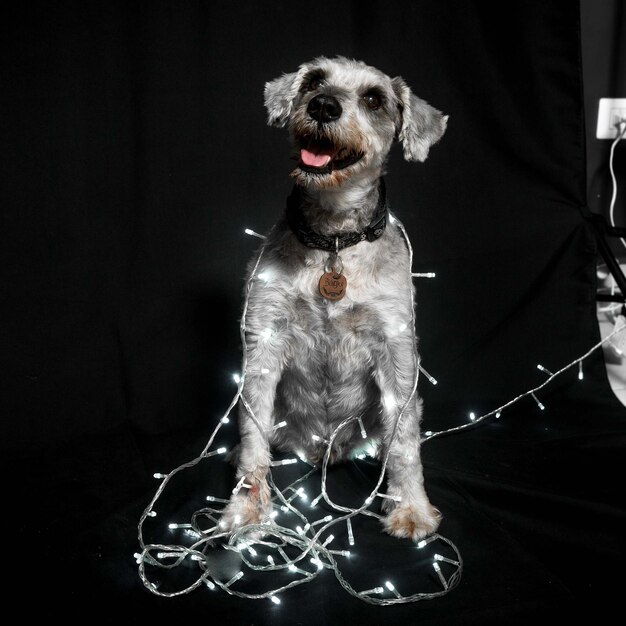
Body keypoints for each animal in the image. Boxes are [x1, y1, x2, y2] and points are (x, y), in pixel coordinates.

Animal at [219, 56, 444, 540]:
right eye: (314, 81)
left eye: (375, 98)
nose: (323, 105)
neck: (334, 239)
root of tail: (323, 450)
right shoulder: (263, 339)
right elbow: (252, 434)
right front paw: (247, 510)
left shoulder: (396, 347)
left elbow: (404, 441)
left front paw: (411, 508)